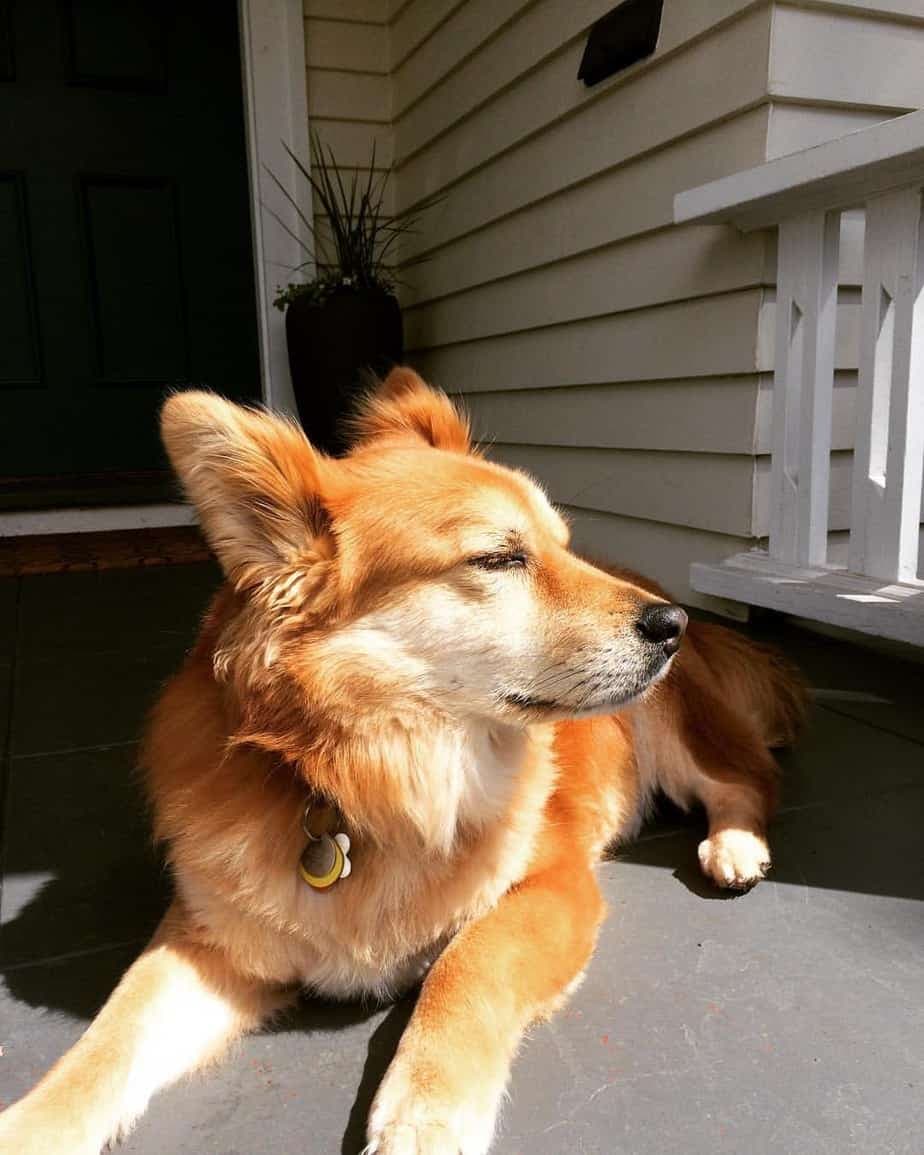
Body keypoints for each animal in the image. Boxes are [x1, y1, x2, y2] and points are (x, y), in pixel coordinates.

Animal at [0, 369, 803, 1155]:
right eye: (499, 557)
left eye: (563, 544)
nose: (673, 624)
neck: (373, 779)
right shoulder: (207, 937)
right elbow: (109, 1039)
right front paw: (33, 1125)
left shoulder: (553, 883)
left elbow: (465, 964)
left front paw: (427, 1112)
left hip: (672, 726)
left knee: (749, 777)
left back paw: (736, 846)